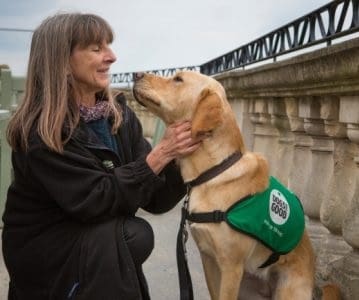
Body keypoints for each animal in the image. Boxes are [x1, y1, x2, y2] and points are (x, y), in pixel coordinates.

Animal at [133, 71, 340, 300]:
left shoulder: (231, 266)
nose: (136, 74)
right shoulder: (209, 259)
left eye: (178, 79)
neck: (214, 170)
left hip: (286, 290)